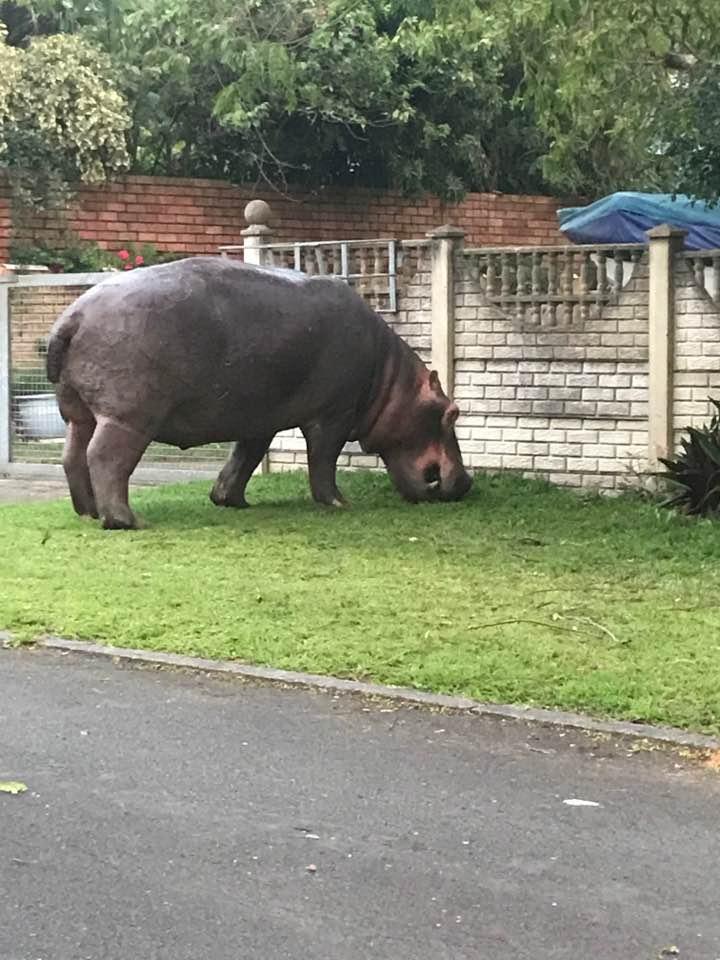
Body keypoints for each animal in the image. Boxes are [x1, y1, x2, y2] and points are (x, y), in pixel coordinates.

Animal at [46, 257, 472, 528]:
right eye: (452, 412)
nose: (467, 482)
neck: (388, 380)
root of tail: (72, 316)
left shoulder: (259, 419)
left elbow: (244, 459)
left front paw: (230, 501)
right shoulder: (333, 416)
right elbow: (323, 462)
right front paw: (340, 504)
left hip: (77, 412)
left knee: (72, 455)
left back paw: (87, 513)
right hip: (129, 417)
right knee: (106, 458)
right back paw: (127, 521)